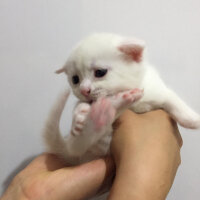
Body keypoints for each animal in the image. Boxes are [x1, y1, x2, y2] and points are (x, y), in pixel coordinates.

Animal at [43, 32, 199, 164]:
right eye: (75, 79)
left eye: (100, 72)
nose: (83, 90)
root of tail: (71, 151)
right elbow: (80, 105)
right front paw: (79, 115)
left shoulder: (158, 90)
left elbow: (173, 100)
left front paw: (193, 119)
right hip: (90, 144)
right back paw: (106, 110)